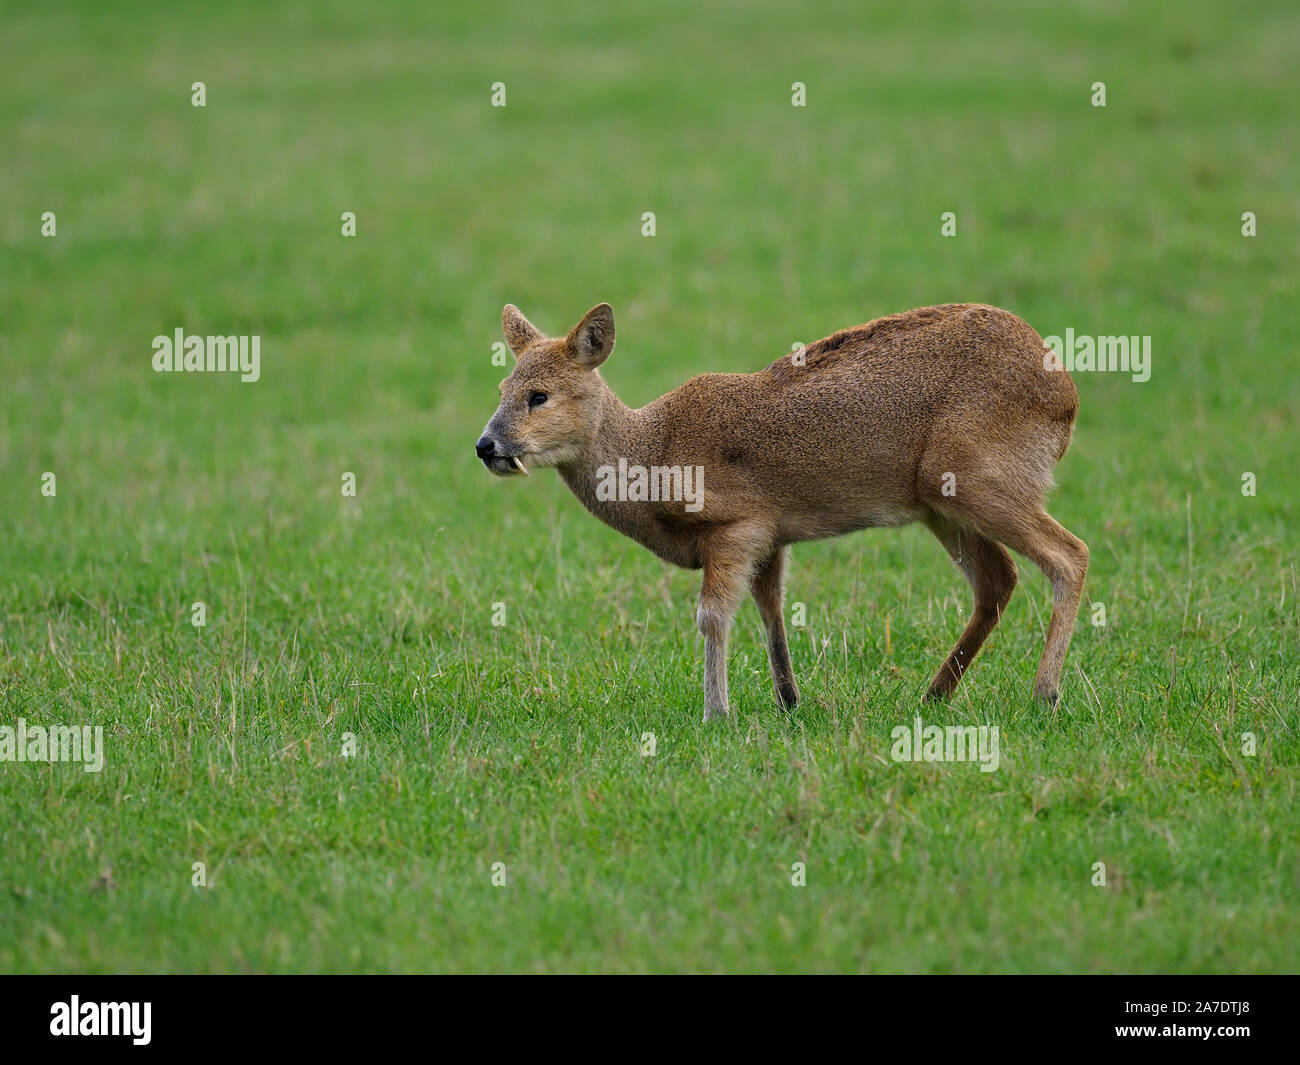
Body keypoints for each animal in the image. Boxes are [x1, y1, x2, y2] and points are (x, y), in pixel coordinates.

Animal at [478, 304, 1086, 728]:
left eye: (539, 395)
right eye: (502, 387)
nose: (487, 446)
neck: (653, 456)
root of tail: (1067, 396)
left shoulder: (735, 526)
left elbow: (712, 617)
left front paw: (716, 714)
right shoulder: (772, 535)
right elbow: (771, 613)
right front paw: (789, 700)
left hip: (978, 478)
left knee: (1070, 555)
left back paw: (1044, 694)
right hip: (942, 503)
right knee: (998, 580)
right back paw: (935, 692)